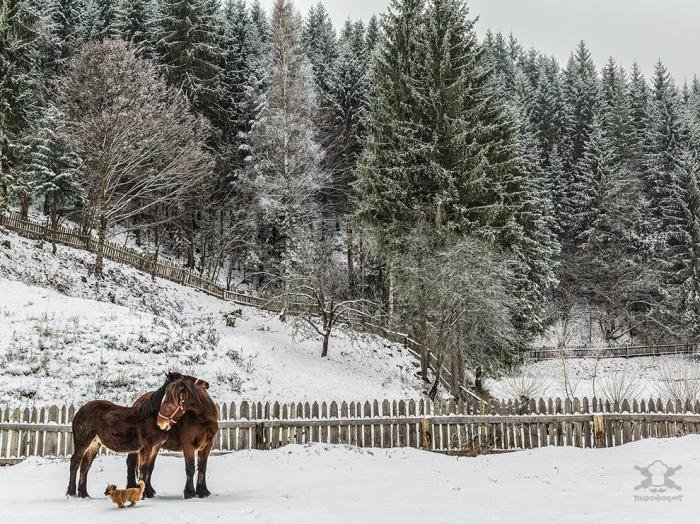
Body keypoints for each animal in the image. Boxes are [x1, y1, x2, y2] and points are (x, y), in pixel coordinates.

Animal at [67, 374, 197, 498]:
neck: (151, 417)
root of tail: (79, 411)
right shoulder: (146, 448)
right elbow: (143, 469)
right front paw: (144, 494)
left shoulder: (155, 448)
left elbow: (148, 469)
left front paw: (148, 493)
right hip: (83, 442)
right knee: (75, 462)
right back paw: (71, 493)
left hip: (94, 443)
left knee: (85, 465)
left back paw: (84, 494)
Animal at [126, 372, 219, 500]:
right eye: (166, 404)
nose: (205, 384)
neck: (202, 419)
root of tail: (138, 402)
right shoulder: (188, 445)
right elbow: (190, 468)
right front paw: (190, 493)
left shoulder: (207, 445)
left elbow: (202, 468)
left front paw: (203, 491)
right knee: (132, 463)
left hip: (155, 447)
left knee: (149, 467)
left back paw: (149, 491)